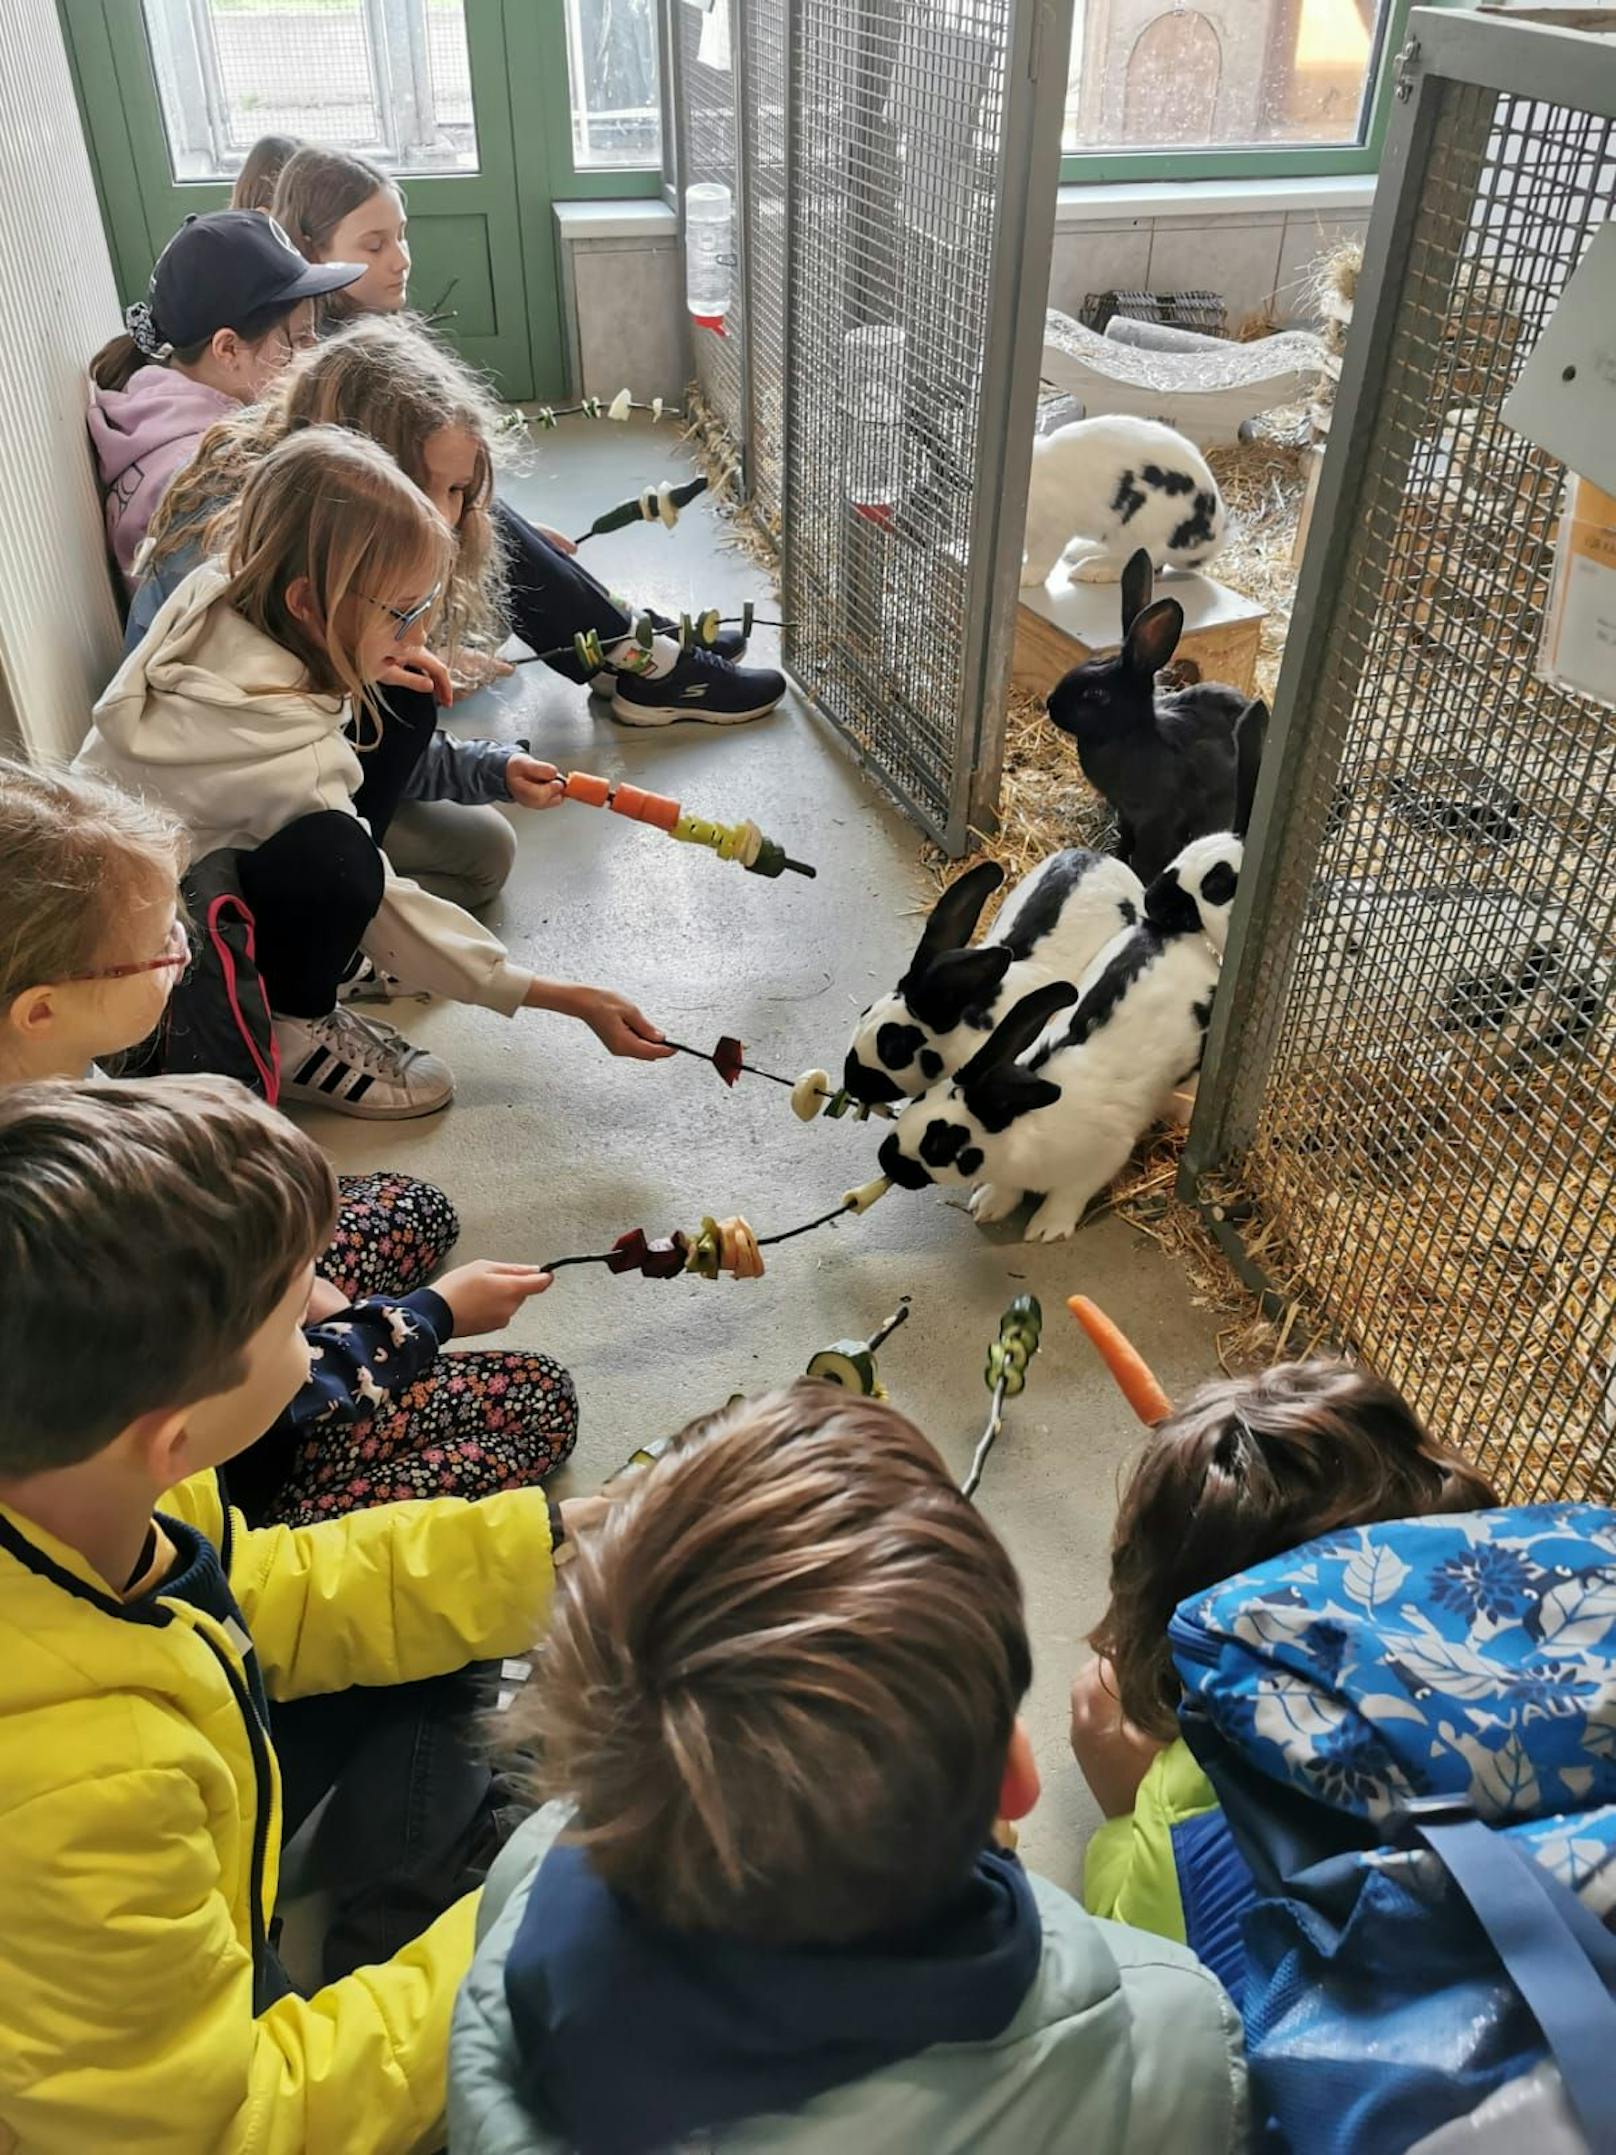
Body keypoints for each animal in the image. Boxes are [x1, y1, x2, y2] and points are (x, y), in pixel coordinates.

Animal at [879, 840, 1249, 1249]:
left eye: (942, 1143)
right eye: (919, 1099)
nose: (885, 1158)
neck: (1024, 1132)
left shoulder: (1103, 1158)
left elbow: (1068, 1196)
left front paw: (1045, 1229)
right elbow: (1006, 1189)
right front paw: (988, 1205)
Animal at [1025, 413, 1223, 590]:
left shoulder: (1051, 528)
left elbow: (1041, 557)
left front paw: (1025, 578)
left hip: (1144, 528)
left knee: (1145, 563)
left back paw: (1092, 570)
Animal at [1042, 555, 1275, 892]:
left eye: (1096, 694)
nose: (1051, 705)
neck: (1129, 735)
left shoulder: (1157, 820)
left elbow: (1149, 856)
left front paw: (1140, 876)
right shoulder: (1126, 815)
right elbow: (1125, 841)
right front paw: (1117, 856)